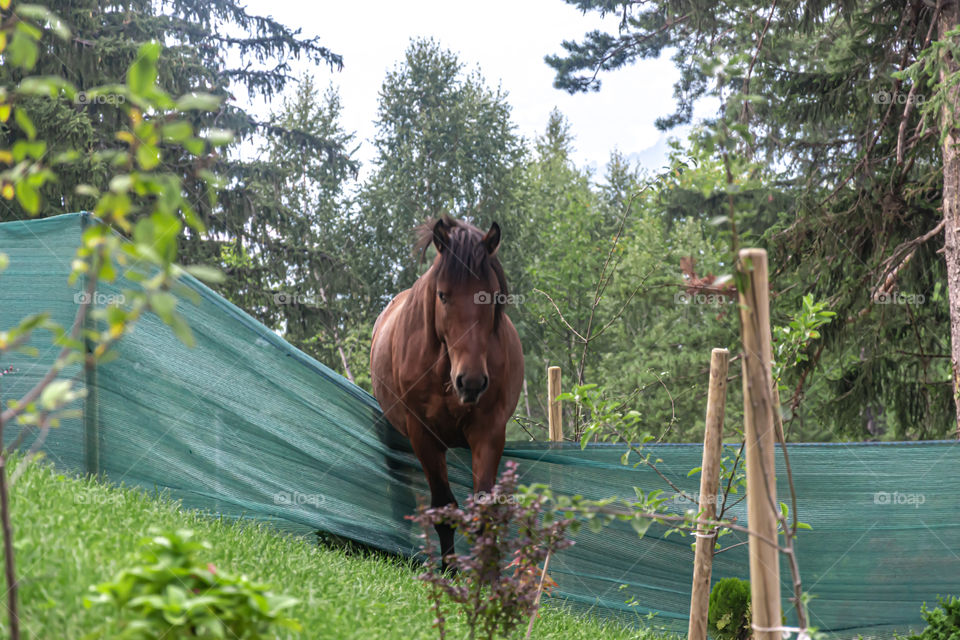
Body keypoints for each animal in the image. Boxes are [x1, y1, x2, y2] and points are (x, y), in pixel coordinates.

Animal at [370, 216, 524, 564]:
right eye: (442, 295)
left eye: (492, 296)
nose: (471, 381)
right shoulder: (423, 435)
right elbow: (443, 510)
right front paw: (450, 570)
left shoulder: (488, 431)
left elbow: (483, 511)